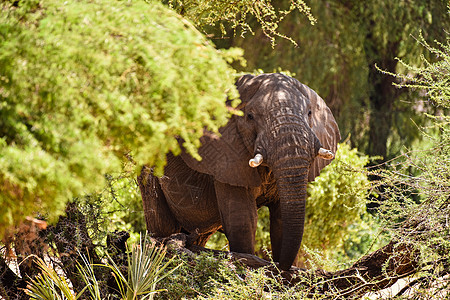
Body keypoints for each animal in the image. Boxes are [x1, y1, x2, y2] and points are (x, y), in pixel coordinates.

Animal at [138, 72, 342, 270]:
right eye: (250, 116)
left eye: (309, 113)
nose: (278, 266)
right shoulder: (225, 156)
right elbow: (243, 220)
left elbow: (281, 221)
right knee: (163, 225)